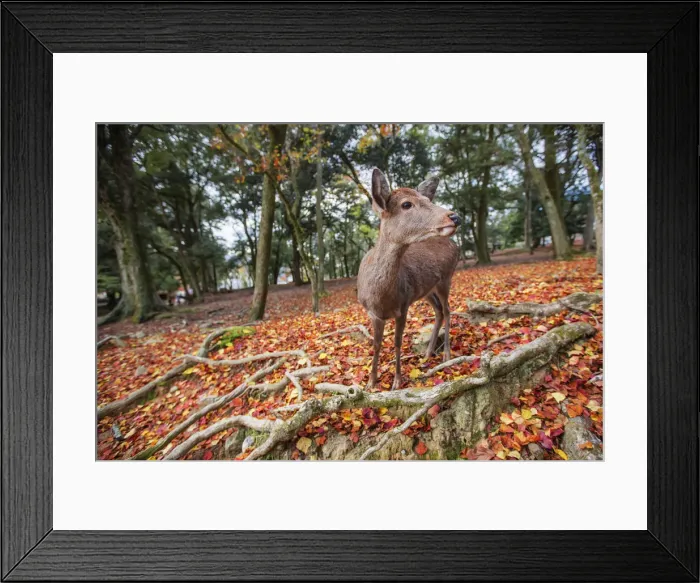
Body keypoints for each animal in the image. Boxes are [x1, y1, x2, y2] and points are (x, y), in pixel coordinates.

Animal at [357, 168, 461, 391]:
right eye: (406, 204)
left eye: (427, 199)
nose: (455, 216)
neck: (382, 297)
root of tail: (455, 246)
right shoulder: (372, 313)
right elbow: (376, 344)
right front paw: (370, 382)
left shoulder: (403, 306)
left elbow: (397, 341)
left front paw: (397, 381)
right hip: (427, 290)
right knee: (439, 311)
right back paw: (428, 353)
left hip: (446, 278)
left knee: (448, 309)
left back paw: (446, 354)